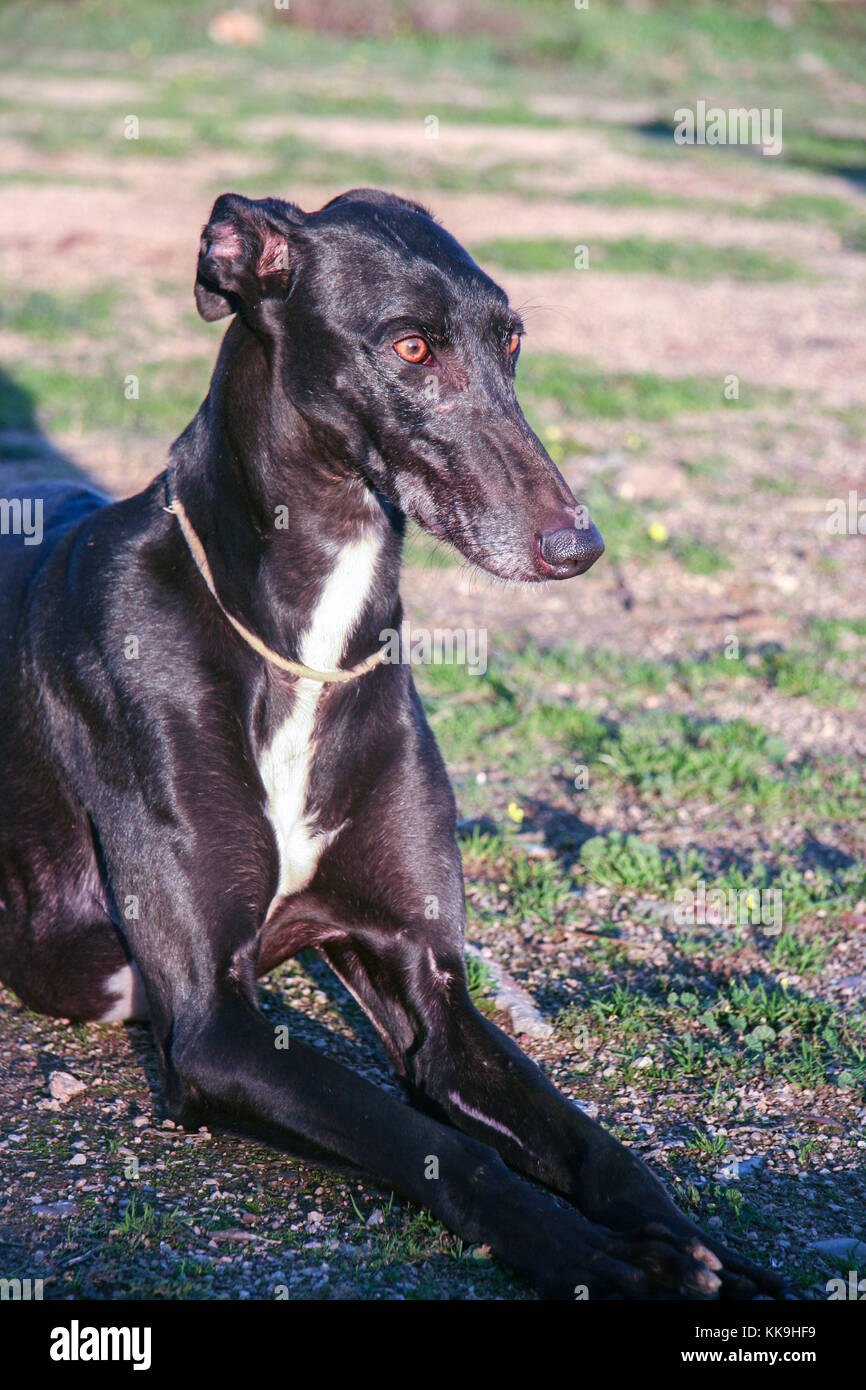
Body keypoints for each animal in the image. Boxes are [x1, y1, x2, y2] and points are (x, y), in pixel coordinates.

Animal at [0, 190, 783, 1295]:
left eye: (511, 343)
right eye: (411, 346)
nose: (577, 548)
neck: (303, 644)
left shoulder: (428, 992)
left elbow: (597, 1148)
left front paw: (710, 1251)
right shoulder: (214, 1024)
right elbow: (446, 1152)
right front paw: (606, 1262)